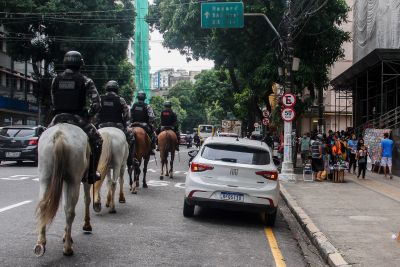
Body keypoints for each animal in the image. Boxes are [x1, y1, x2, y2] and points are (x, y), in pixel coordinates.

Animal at [33, 123, 92, 258]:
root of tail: (60, 134)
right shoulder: (85, 179)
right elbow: (87, 199)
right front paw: (86, 225)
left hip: (45, 177)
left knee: (44, 205)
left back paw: (41, 243)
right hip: (74, 181)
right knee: (70, 210)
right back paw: (67, 248)